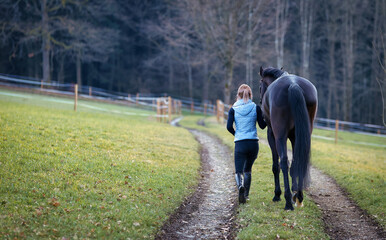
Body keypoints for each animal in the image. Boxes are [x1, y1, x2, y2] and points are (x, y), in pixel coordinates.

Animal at [258, 67, 318, 210]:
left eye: (260, 85)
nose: (260, 103)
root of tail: (293, 84)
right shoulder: (294, 137)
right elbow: (295, 162)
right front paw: (295, 190)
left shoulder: (271, 135)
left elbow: (276, 166)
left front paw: (278, 194)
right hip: (304, 134)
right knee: (299, 161)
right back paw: (299, 197)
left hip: (280, 136)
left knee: (284, 162)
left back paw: (288, 202)